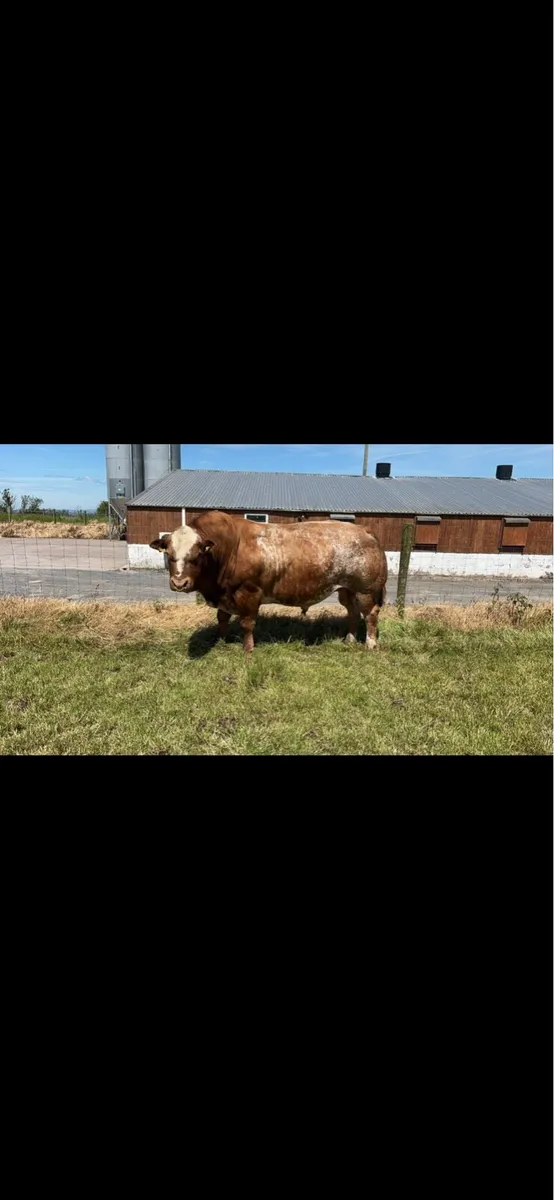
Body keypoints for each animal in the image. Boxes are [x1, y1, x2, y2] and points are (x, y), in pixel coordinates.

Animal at [150, 511, 387, 654]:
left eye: (197, 553)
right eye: (168, 553)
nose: (179, 583)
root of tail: (364, 530)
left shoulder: (248, 593)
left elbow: (247, 624)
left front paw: (248, 650)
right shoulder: (225, 595)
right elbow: (222, 619)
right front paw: (221, 641)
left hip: (366, 589)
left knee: (370, 614)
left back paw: (370, 644)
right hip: (346, 590)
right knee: (353, 613)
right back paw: (349, 640)